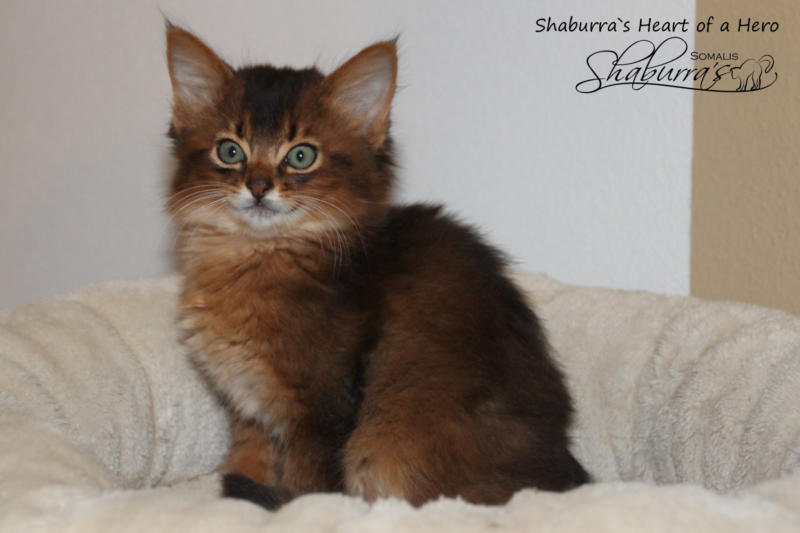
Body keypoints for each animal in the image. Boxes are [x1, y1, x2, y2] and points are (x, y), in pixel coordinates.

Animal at [165, 24, 589, 509]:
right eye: (230, 151)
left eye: (301, 156)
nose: (258, 187)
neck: (251, 257)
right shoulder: (249, 409)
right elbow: (245, 463)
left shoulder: (320, 408)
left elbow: (309, 489)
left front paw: (292, 509)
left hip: (384, 442)